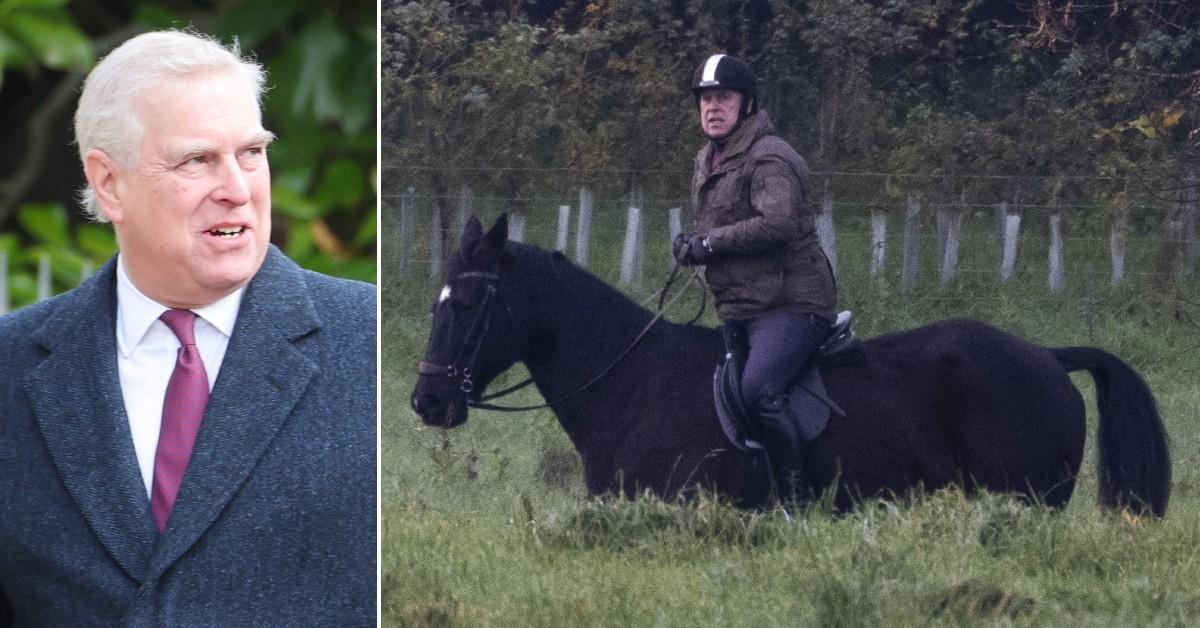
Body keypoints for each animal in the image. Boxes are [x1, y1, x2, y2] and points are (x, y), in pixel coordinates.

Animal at [412, 213, 1171, 518]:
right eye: (437, 297)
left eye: (470, 303)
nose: (427, 402)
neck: (628, 383)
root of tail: (1045, 355)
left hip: (1028, 502)